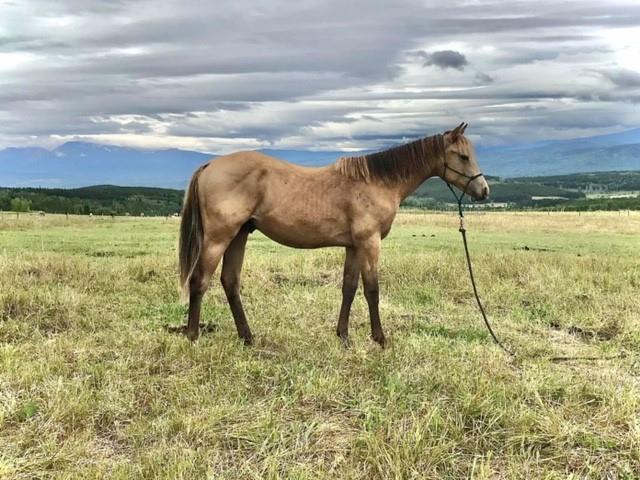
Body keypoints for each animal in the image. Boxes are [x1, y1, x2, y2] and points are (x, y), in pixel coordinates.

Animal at [178, 122, 488, 346]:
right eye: (463, 156)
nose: (484, 190)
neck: (376, 182)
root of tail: (210, 166)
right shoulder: (369, 242)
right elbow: (372, 289)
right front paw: (380, 339)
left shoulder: (353, 246)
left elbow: (349, 288)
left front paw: (344, 336)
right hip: (219, 238)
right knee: (199, 280)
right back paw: (193, 336)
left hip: (239, 236)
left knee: (230, 282)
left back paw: (247, 337)